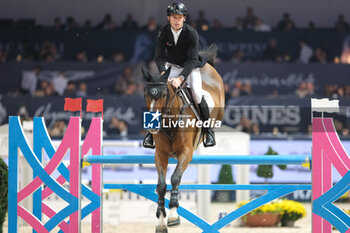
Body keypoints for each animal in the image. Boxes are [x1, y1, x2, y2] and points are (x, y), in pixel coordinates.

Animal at [142, 46, 224, 232]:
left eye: (163, 94)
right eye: (146, 94)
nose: (152, 125)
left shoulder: (186, 153)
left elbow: (175, 178)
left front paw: (173, 215)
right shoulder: (161, 155)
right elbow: (161, 185)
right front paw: (161, 220)